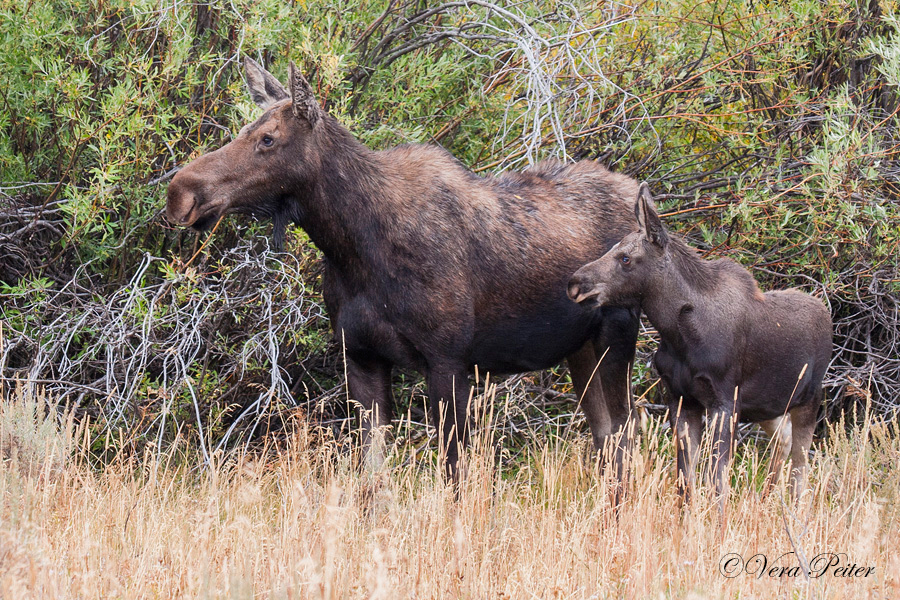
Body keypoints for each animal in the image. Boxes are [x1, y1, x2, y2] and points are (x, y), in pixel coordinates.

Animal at [167, 58, 640, 480]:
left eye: (268, 139)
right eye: (244, 131)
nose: (180, 192)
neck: (355, 249)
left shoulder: (448, 361)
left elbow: (453, 475)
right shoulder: (361, 358)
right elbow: (373, 480)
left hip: (617, 336)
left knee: (625, 436)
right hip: (580, 348)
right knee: (606, 440)